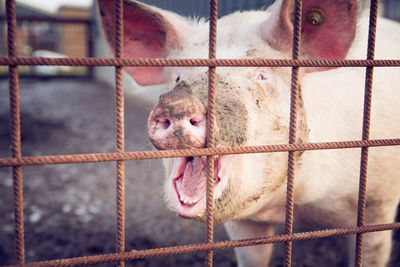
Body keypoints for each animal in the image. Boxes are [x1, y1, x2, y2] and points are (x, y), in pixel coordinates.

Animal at [97, 0, 400, 266]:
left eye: (261, 76)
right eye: (178, 77)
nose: (177, 102)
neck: (295, 203)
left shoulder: (378, 203)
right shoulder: (243, 224)